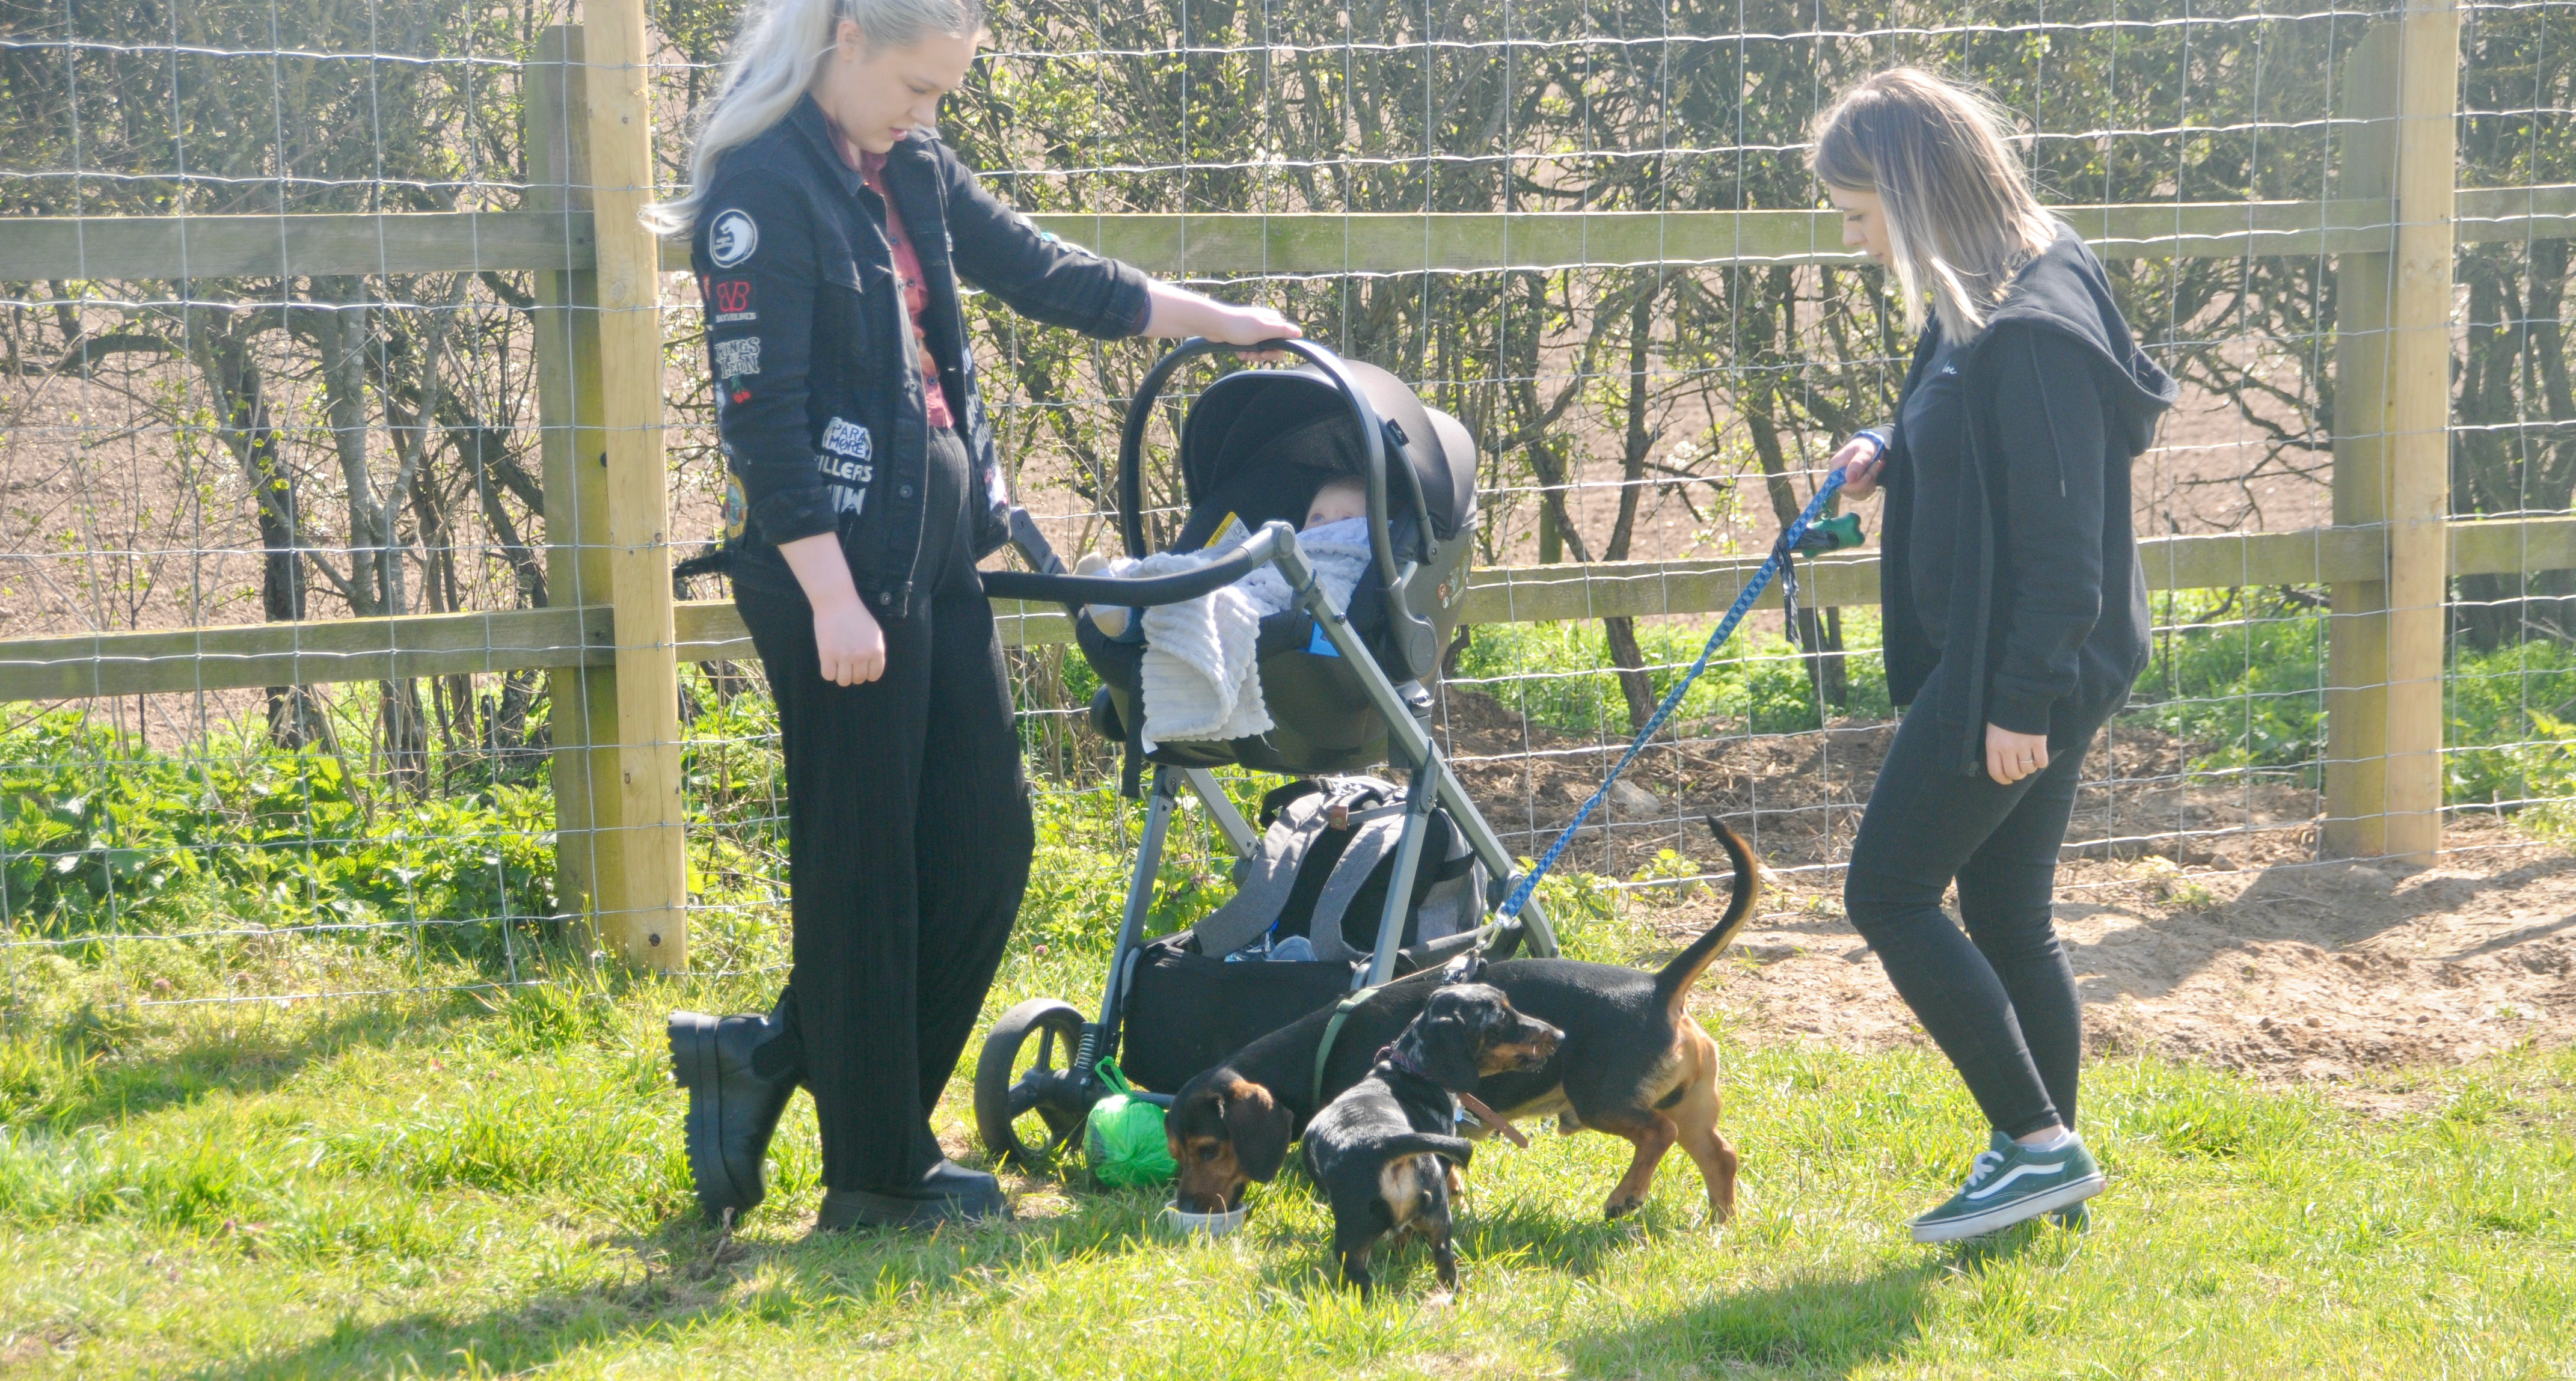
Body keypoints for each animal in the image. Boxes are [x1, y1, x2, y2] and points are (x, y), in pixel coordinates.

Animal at [1174, 819, 1762, 1221]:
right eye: (1177, 1151)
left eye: (1209, 1149)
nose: (1189, 1207)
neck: (1320, 1049)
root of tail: (1658, 987)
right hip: (1688, 1103)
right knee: (1722, 1156)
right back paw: (1719, 1225)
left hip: (1603, 1097)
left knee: (1659, 1134)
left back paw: (1627, 1195)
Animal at [1298, 984, 1556, 1293]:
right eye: (1502, 1019)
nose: (1559, 1035)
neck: (1412, 1072)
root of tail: (1383, 1144)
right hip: (1432, 1220)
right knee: (1444, 1264)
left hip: (1359, 1238)